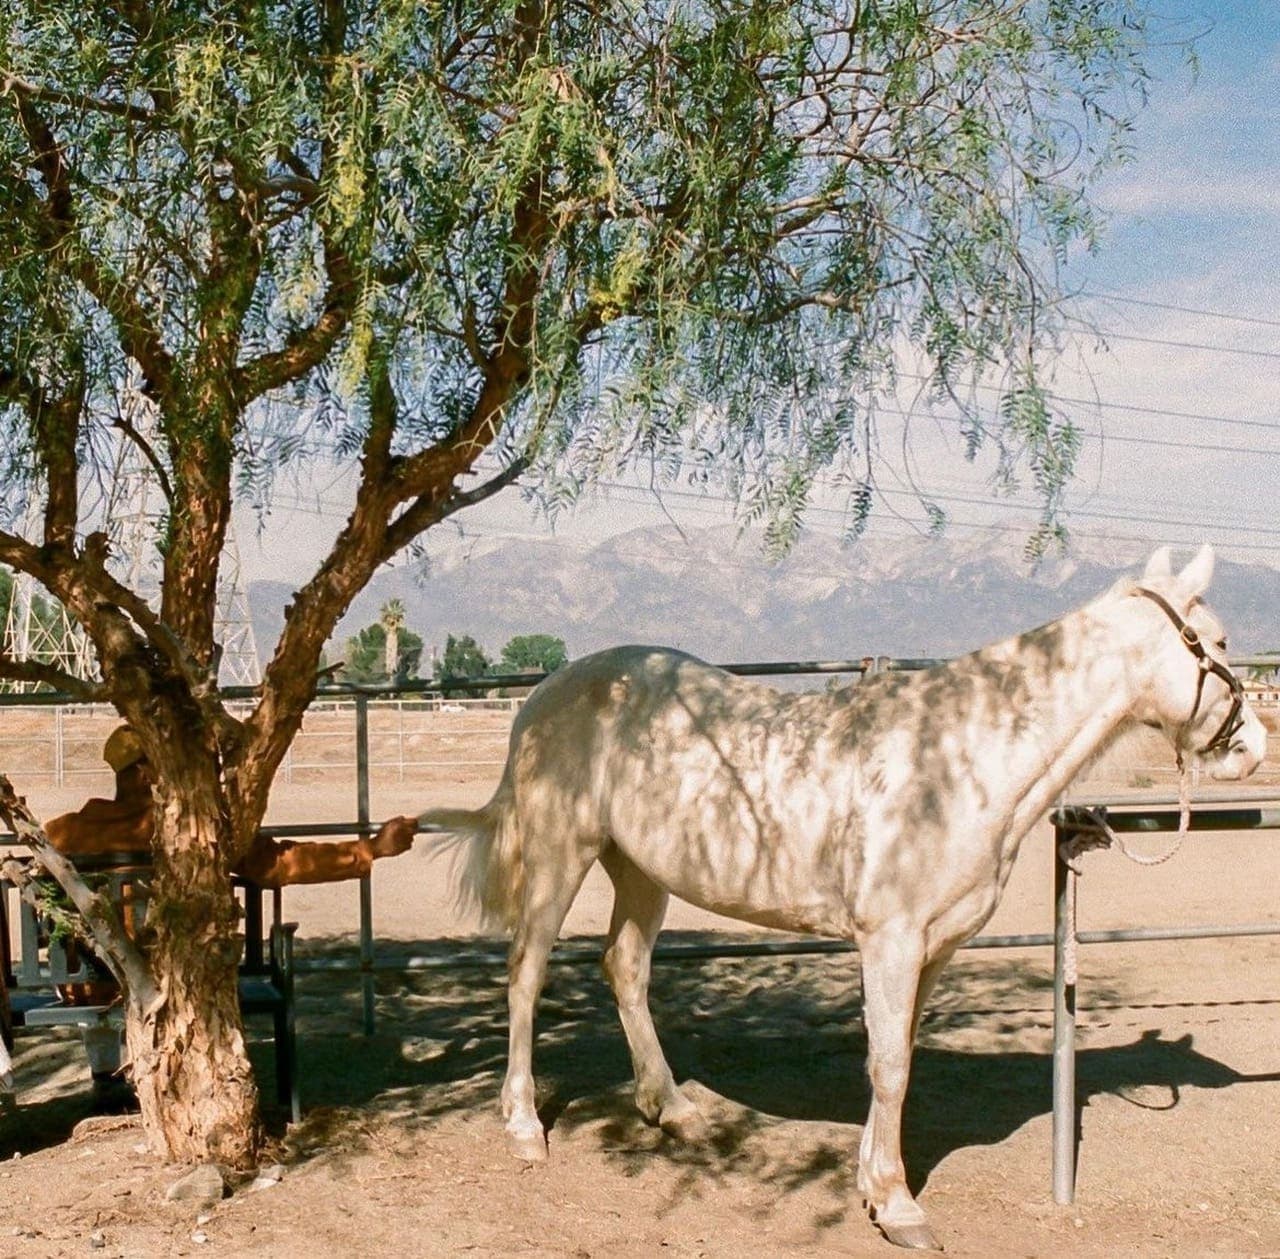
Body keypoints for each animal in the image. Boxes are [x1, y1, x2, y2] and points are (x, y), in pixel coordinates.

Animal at [419, 544, 1265, 1250]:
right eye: (1218, 642)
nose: (1253, 748)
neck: (964, 754)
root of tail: (545, 693)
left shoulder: (934, 945)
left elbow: (900, 1055)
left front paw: (872, 1179)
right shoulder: (890, 937)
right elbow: (888, 1063)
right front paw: (896, 1204)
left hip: (641, 869)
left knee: (624, 966)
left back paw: (674, 1107)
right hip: (561, 854)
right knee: (526, 974)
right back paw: (525, 1126)